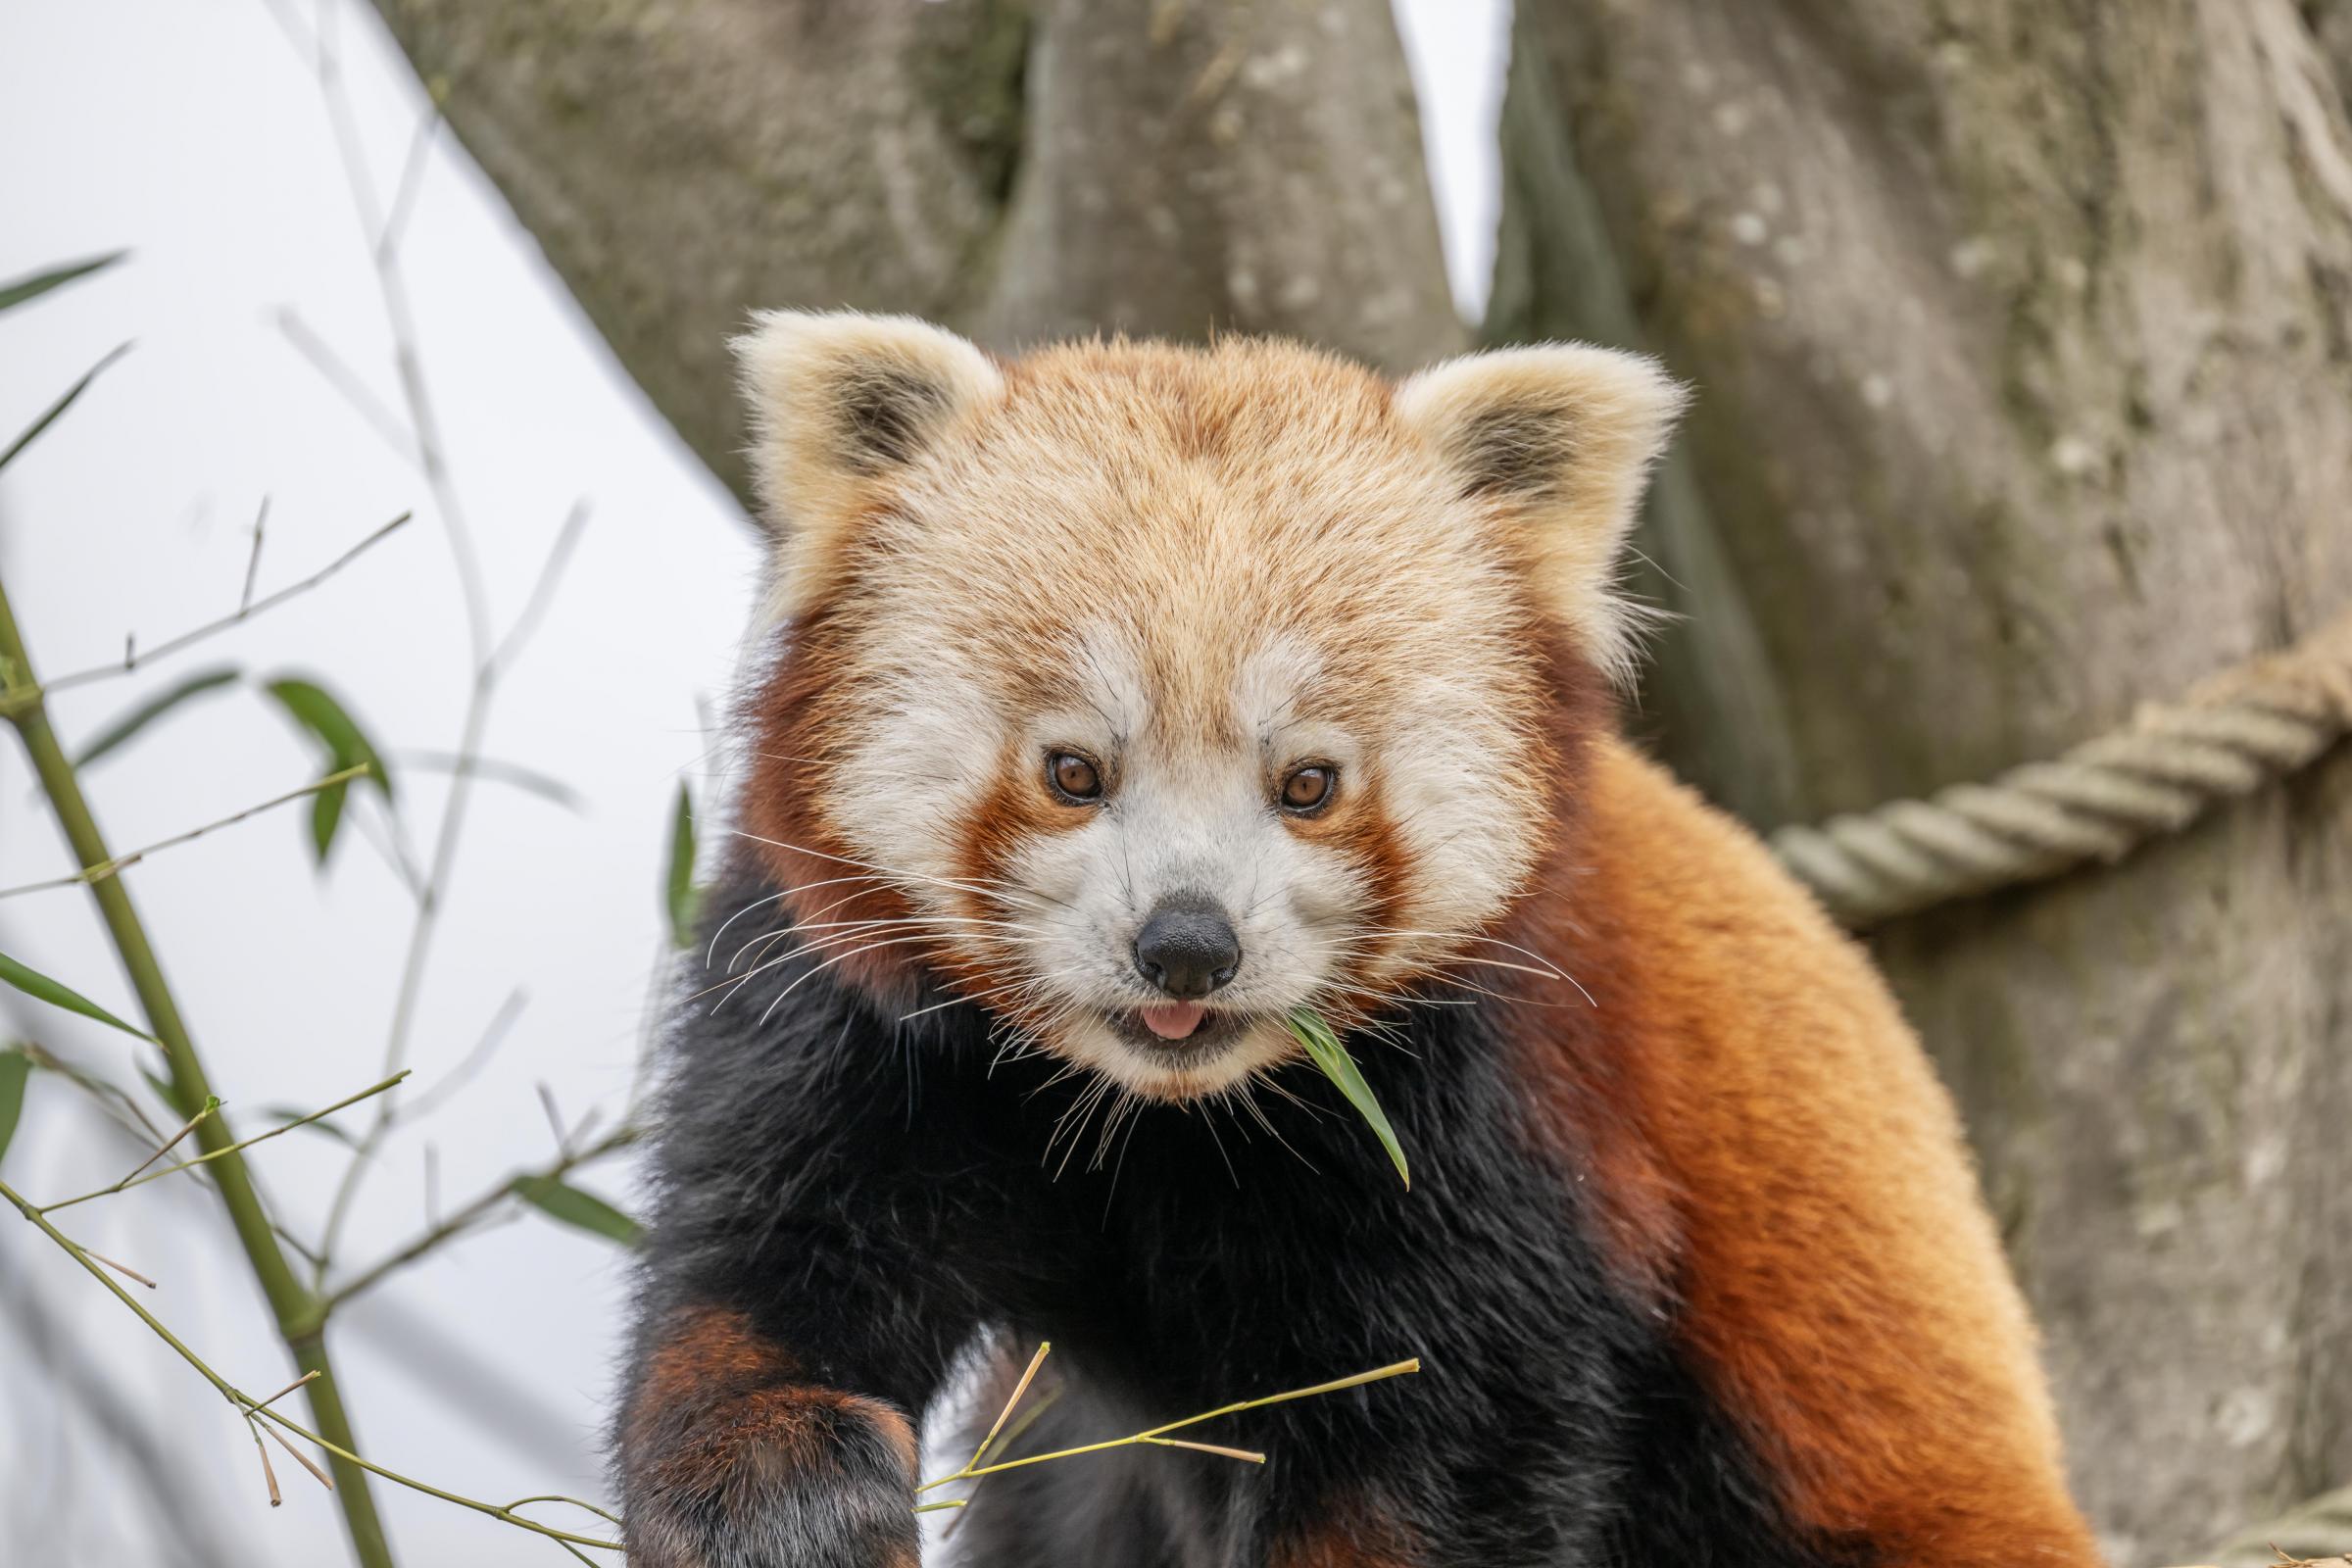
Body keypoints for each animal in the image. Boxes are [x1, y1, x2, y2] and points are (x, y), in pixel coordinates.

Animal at [612, 319, 2097, 1568]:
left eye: (1309, 783)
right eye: (1074, 772)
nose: (1188, 947)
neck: (1164, 1122)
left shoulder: (1513, 1115)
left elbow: (1457, 1435)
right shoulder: (848, 1011)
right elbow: (765, 1273)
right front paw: (789, 1508)